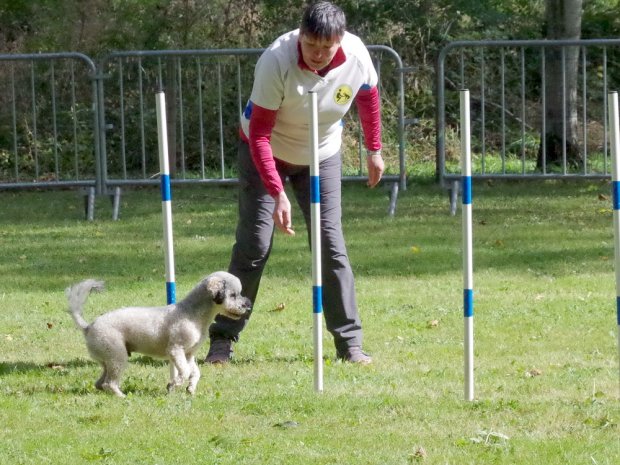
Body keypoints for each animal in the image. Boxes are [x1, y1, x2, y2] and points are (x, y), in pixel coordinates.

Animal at [65, 270, 249, 396]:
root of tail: (88, 326)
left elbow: (195, 372)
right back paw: (122, 396)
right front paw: (173, 385)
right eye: (233, 295)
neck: (191, 314)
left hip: (109, 360)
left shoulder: (189, 354)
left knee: (100, 383)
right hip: (117, 357)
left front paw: (190, 388)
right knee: (109, 383)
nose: (247, 305)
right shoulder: (176, 351)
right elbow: (184, 372)